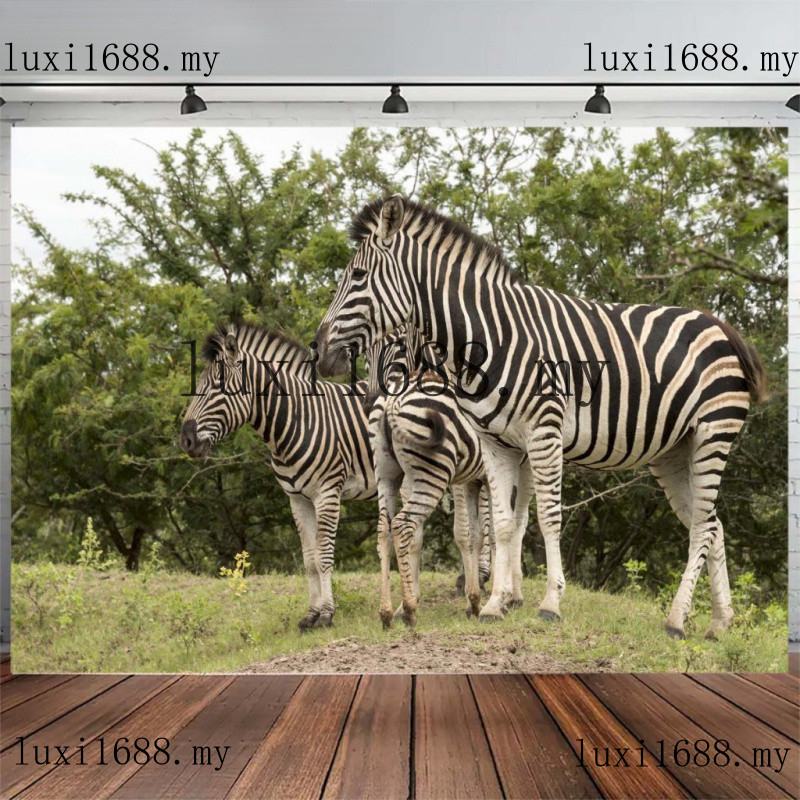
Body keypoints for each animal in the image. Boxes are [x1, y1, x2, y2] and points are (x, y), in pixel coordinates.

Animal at [370, 368, 524, 627]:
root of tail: (394, 399)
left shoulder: (473, 480)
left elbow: (474, 536)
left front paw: (474, 602)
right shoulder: (495, 476)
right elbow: (497, 533)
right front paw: (501, 600)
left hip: (386, 474)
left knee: (384, 529)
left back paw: (386, 613)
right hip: (433, 472)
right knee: (402, 525)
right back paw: (409, 610)